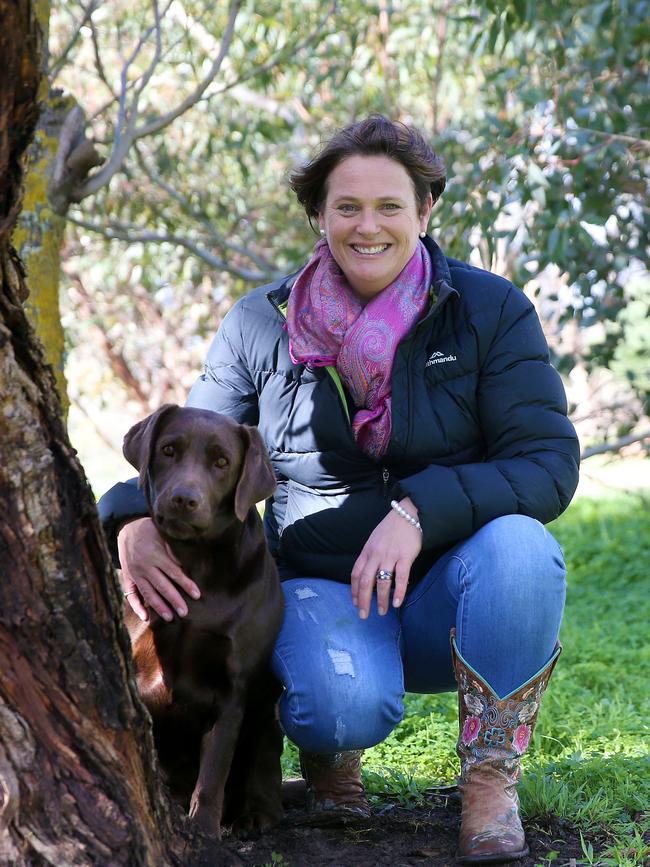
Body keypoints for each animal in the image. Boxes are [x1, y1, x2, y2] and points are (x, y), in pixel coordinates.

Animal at [121, 406, 284, 840]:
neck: (195, 561)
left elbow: (213, 776)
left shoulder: (232, 691)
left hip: (267, 718)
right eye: (168, 450)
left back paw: (253, 816)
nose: (183, 499)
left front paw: (206, 833)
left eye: (222, 463)